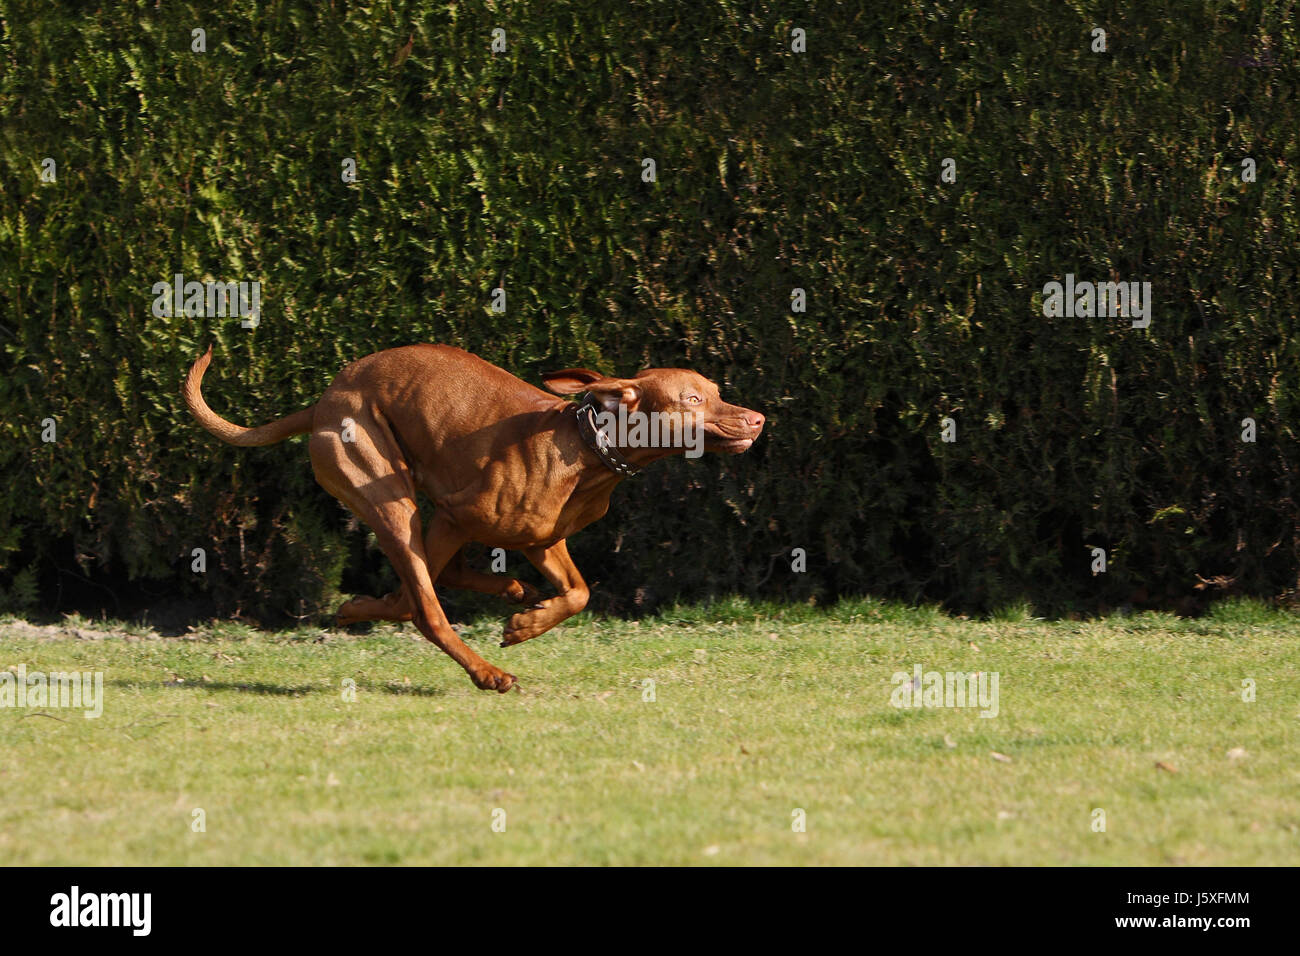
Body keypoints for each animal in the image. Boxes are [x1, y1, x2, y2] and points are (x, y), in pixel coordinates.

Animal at [183, 348, 759, 691]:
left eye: (717, 391)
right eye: (691, 398)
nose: (757, 419)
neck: (587, 449)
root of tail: (323, 403)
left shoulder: (543, 538)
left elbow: (579, 592)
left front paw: (527, 623)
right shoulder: (456, 515)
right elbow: (416, 599)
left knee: (433, 585)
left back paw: (509, 592)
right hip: (394, 503)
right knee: (422, 607)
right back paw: (485, 670)